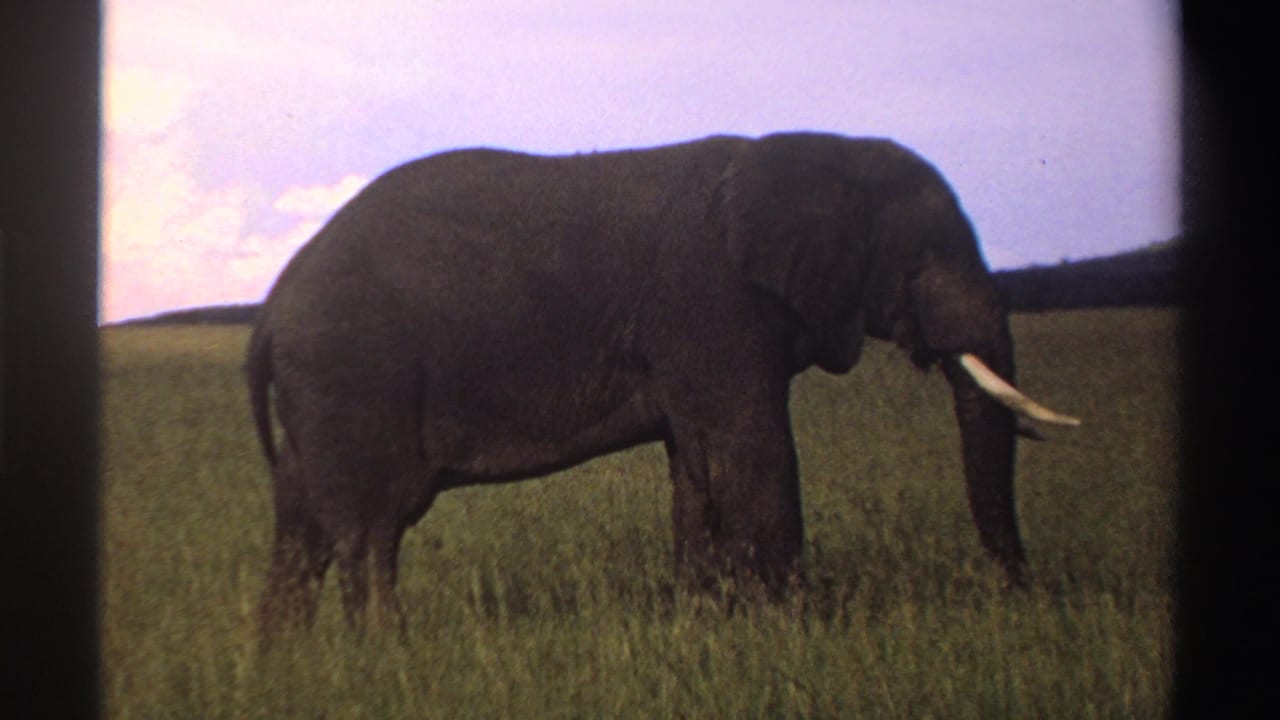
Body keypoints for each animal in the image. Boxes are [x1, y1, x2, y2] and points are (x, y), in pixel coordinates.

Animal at [248, 132, 1078, 637]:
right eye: (926, 258)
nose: (1030, 596)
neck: (814, 151)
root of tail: (270, 309)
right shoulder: (715, 303)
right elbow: (756, 457)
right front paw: (795, 633)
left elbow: (699, 470)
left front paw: (707, 626)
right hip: (351, 376)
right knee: (370, 533)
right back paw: (384, 660)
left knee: (302, 528)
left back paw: (291, 667)